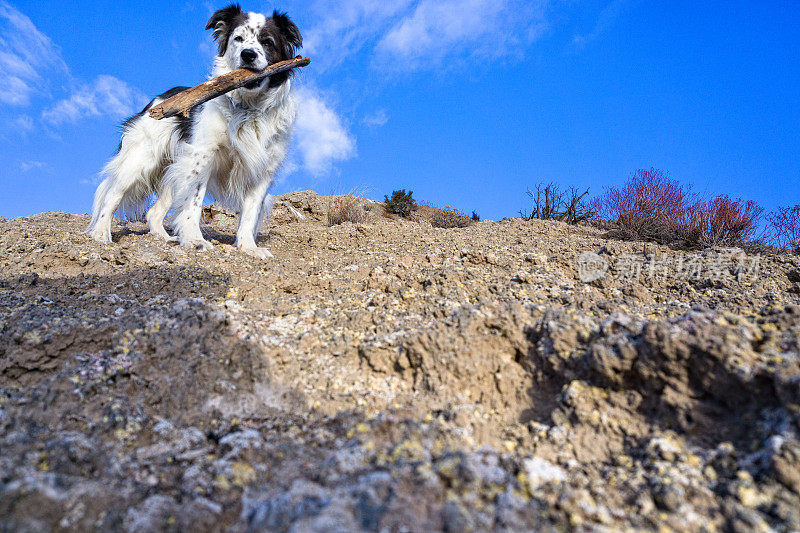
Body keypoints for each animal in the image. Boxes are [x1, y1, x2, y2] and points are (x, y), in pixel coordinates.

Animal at [88, 5, 304, 258]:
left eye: (267, 42)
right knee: (112, 195)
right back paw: (101, 232)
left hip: (173, 170)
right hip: (140, 160)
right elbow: (193, 203)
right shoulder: (202, 156)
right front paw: (194, 240)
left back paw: (164, 238)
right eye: (238, 39)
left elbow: (250, 213)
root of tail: (157, 100)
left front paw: (248, 247)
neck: (249, 108)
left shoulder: (263, 169)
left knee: (153, 212)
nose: (248, 54)